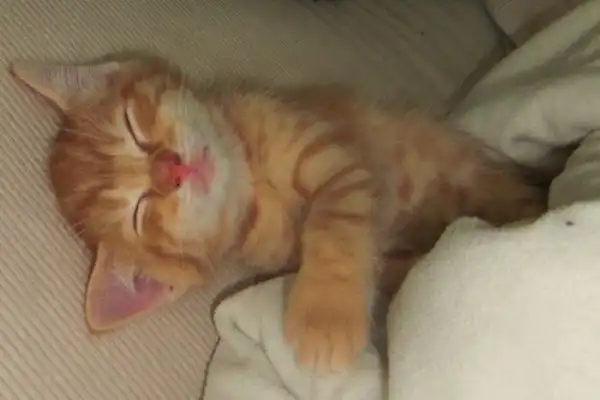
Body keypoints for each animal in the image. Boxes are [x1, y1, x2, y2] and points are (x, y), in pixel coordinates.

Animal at [10, 56, 546, 373]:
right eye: (141, 215)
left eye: (134, 129)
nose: (173, 169)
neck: (252, 175)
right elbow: (378, 255)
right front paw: (343, 309)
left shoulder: (339, 157)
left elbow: (336, 223)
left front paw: (326, 313)